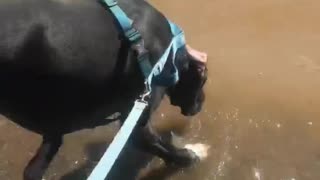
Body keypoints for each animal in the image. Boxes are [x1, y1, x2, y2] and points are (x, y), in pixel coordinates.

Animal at [0, 0, 208, 179]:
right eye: (203, 79)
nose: (201, 104)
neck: (170, 51)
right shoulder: (138, 113)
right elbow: (156, 144)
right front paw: (190, 155)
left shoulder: (54, 128)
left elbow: (34, 167)